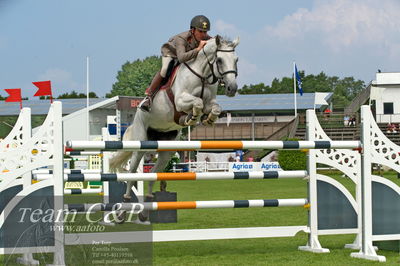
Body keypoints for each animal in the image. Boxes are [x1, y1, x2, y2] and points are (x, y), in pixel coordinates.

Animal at [110, 35, 238, 220]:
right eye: (219, 60)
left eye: (236, 60)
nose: (232, 88)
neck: (202, 75)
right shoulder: (180, 100)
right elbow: (197, 103)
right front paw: (191, 117)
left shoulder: (210, 102)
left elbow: (214, 108)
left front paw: (207, 119)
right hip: (140, 144)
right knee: (133, 173)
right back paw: (122, 209)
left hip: (166, 151)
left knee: (152, 173)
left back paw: (146, 209)